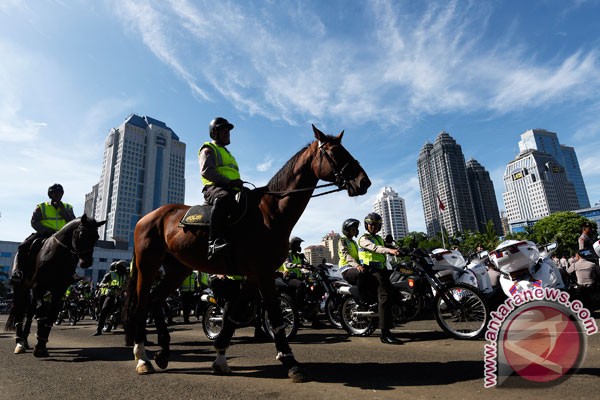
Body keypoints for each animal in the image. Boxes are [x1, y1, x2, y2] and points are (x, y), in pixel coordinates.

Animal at [4, 214, 106, 358]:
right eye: (81, 233)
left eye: (96, 236)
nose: (86, 262)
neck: (58, 255)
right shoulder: (39, 287)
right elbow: (42, 312)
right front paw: (39, 342)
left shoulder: (59, 290)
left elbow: (51, 314)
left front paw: (41, 345)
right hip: (21, 287)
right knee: (20, 311)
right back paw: (19, 343)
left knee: (29, 313)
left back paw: (25, 340)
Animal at [123, 125, 370, 382]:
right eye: (334, 152)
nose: (364, 182)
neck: (270, 212)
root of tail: (145, 218)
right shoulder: (264, 273)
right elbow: (275, 316)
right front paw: (290, 361)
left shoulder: (254, 275)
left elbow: (233, 315)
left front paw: (220, 357)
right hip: (147, 267)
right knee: (141, 306)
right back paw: (142, 356)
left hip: (177, 269)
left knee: (155, 300)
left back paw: (163, 351)